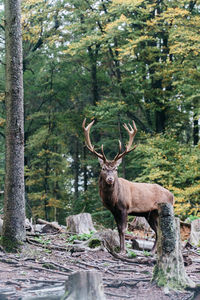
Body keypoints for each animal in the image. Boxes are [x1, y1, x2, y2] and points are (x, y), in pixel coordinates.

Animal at [82, 118, 174, 252]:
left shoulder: (124, 207)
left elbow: (123, 229)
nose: (110, 179)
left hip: (163, 209)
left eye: (115, 169)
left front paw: (123, 250)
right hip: (150, 214)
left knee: (161, 230)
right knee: (157, 230)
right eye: (103, 168)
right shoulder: (114, 211)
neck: (113, 199)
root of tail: (172, 196)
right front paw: (121, 249)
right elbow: (118, 229)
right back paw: (152, 251)